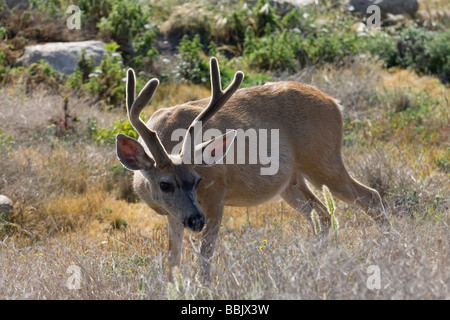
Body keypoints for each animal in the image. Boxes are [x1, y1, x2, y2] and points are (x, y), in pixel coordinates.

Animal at [116, 57, 390, 280]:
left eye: (197, 180)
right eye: (165, 184)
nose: (196, 220)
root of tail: (335, 104)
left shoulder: (216, 192)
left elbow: (206, 254)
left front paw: (204, 286)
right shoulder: (173, 213)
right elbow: (173, 259)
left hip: (323, 160)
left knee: (371, 196)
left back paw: (387, 249)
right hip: (292, 182)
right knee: (322, 213)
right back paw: (315, 261)